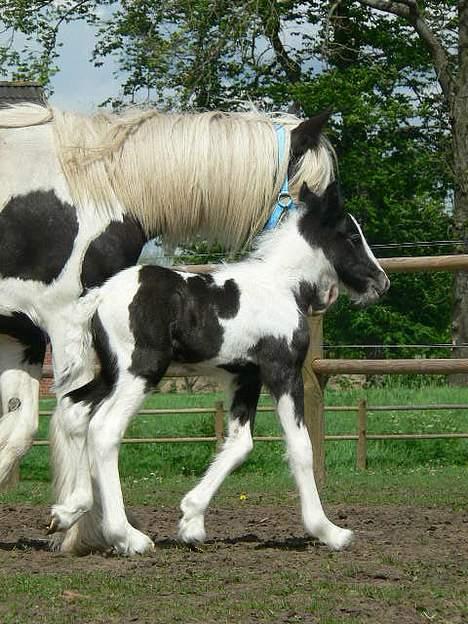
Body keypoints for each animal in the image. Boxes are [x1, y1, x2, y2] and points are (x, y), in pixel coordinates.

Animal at [0, 102, 336, 552]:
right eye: (313, 195)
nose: (325, 294)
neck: (100, 184)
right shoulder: (64, 321)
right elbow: (74, 419)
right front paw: (87, 530)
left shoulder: (24, 333)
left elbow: (20, 427)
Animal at [50, 182, 388, 556]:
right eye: (352, 236)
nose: (381, 282)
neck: (282, 286)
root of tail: (99, 295)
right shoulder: (281, 370)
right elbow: (301, 447)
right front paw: (329, 531)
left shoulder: (245, 377)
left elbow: (240, 444)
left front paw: (191, 520)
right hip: (141, 371)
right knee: (104, 430)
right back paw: (127, 537)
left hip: (113, 373)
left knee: (75, 410)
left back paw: (68, 511)